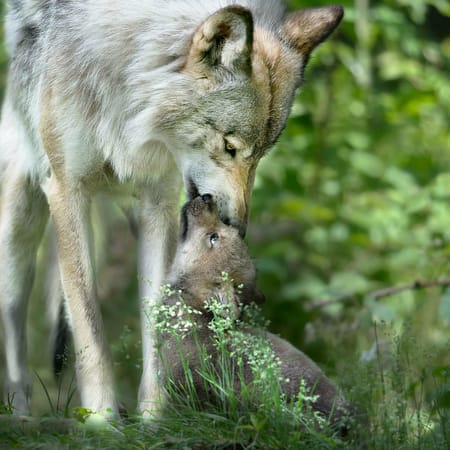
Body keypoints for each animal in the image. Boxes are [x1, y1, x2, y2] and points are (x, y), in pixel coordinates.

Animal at [0, 0, 342, 416]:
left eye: (262, 153)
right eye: (230, 146)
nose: (238, 227)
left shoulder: (158, 205)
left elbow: (159, 328)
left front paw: (153, 418)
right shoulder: (67, 192)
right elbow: (90, 334)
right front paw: (102, 420)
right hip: (18, 233)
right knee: (16, 347)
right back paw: (21, 416)